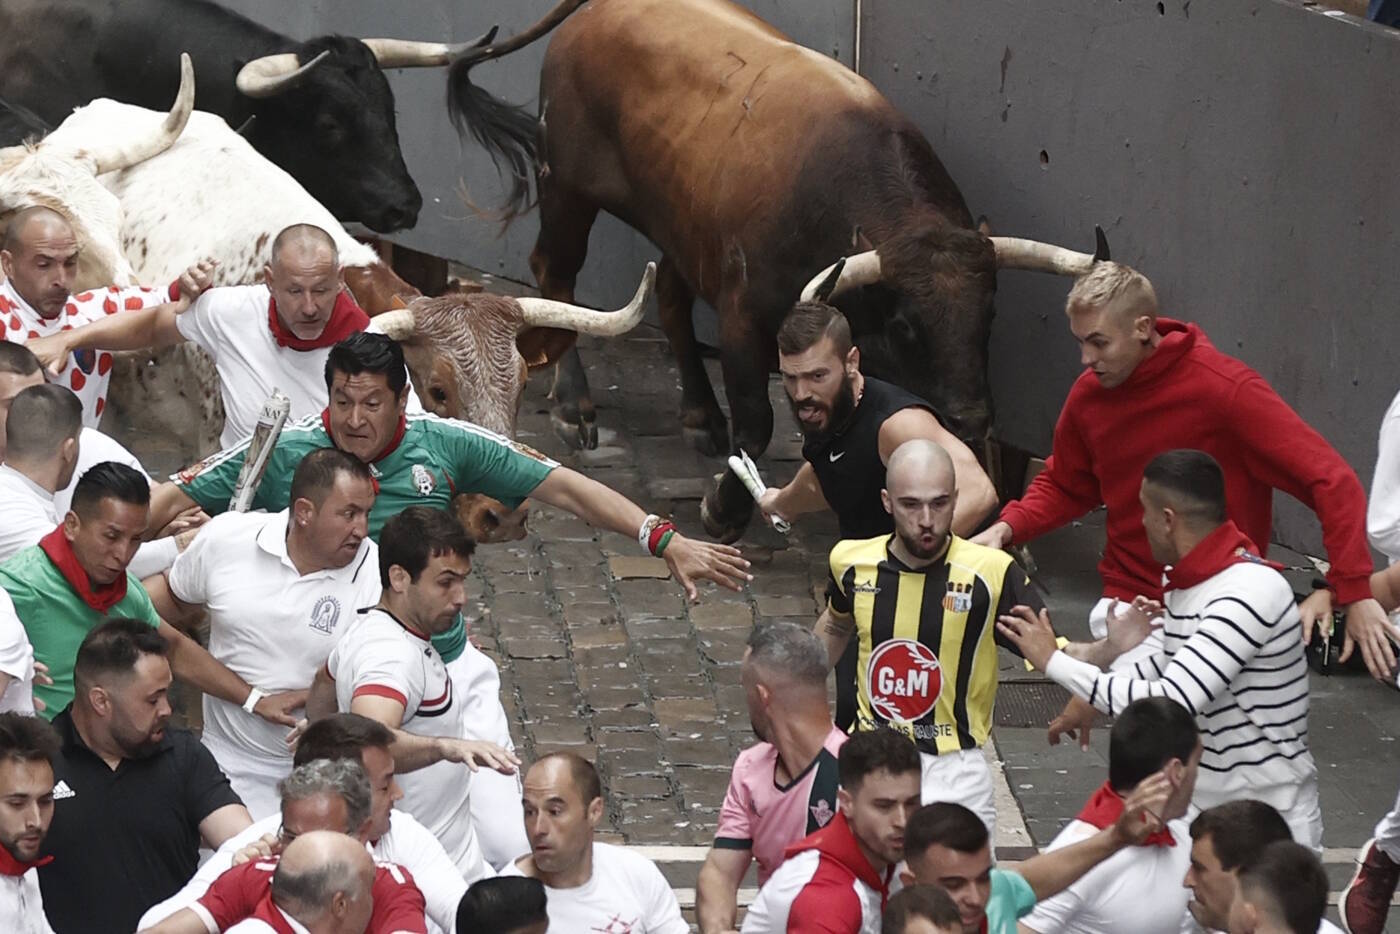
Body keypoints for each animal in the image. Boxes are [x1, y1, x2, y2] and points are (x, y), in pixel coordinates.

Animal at [448, 0, 1103, 540]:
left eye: (988, 314)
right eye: (907, 326)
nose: (971, 418)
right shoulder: (745, 319)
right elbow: (757, 423)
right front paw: (724, 510)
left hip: (680, 223)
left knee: (670, 298)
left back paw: (700, 415)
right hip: (566, 187)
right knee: (555, 272)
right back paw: (573, 405)